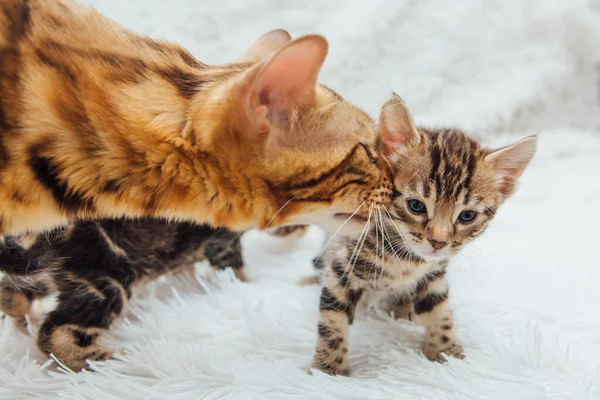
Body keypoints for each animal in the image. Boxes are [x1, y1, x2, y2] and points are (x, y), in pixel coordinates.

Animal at [0, 220, 310, 370]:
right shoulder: (221, 245)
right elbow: (236, 269)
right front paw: (246, 284)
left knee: (16, 291)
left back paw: (16, 311)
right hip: (107, 280)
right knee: (55, 333)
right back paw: (105, 359)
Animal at [312, 94, 536, 376]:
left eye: (467, 216)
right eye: (416, 206)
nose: (438, 241)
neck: (405, 257)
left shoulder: (433, 274)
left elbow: (440, 311)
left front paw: (447, 352)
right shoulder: (341, 264)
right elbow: (332, 320)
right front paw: (329, 369)